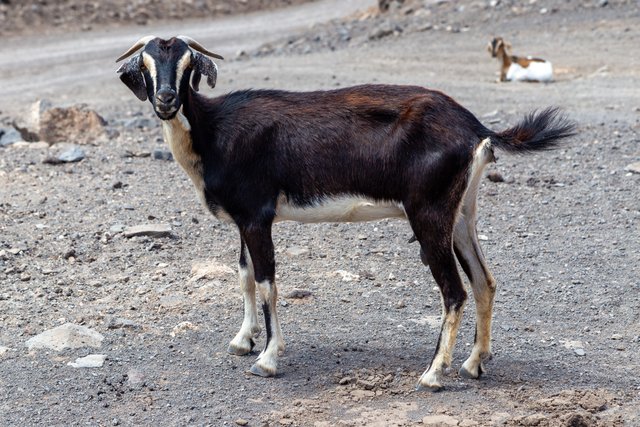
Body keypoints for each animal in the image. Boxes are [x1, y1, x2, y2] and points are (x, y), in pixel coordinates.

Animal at [116, 36, 580, 392]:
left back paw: (432, 375)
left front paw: (267, 359)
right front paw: (242, 341)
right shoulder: (246, 220)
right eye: (146, 63)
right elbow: (245, 275)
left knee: (455, 292)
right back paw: (473, 363)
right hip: (461, 213)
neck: (214, 132)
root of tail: (477, 128)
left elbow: (266, 284)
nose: (166, 99)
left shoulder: (256, 216)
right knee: (485, 281)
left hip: (428, 214)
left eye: (187, 64)